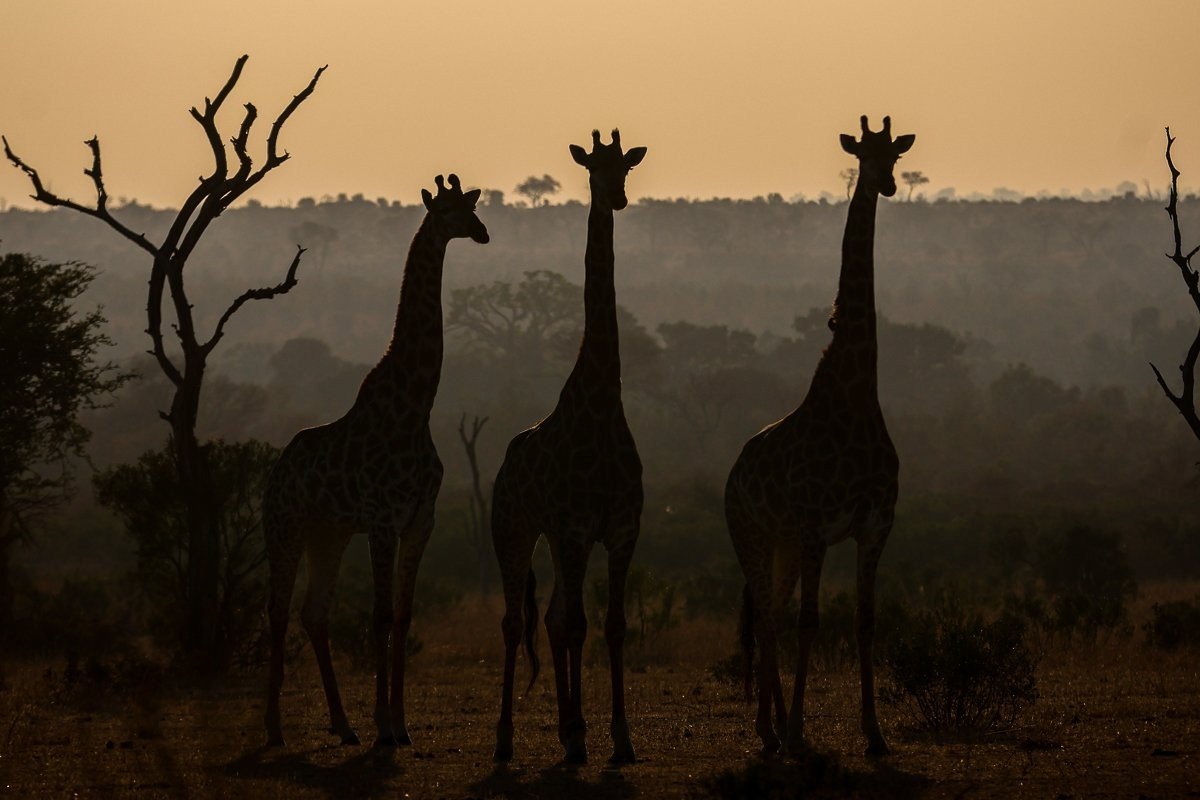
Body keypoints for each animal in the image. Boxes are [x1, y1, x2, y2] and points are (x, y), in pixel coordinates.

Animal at [262, 174, 488, 748]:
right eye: (447, 211)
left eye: (472, 206)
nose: (481, 232)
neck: (414, 408)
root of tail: (276, 470)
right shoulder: (384, 521)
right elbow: (381, 616)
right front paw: (384, 724)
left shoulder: (420, 521)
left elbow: (404, 617)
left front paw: (401, 724)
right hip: (286, 525)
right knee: (277, 611)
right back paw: (274, 729)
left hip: (329, 532)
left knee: (313, 612)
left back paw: (343, 726)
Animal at [725, 116, 914, 757]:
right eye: (862, 153)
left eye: (896, 153)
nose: (887, 184)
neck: (856, 394)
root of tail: (732, 473)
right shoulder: (814, 527)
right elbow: (810, 622)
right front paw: (800, 729)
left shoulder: (874, 525)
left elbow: (865, 620)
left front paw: (875, 734)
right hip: (754, 536)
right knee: (768, 616)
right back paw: (774, 730)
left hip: (782, 544)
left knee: (772, 615)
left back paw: (771, 725)